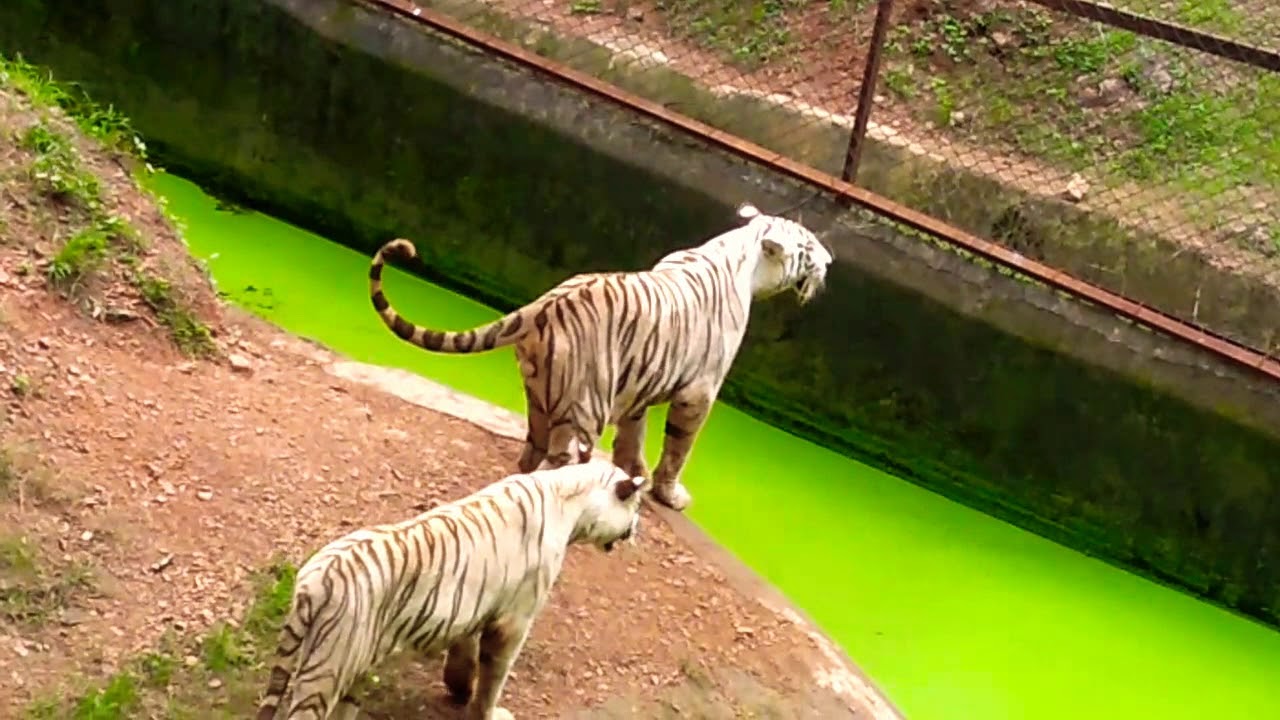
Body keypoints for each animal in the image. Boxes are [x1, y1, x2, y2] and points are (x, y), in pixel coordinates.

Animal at [254, 460, 648, 720]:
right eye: (636, 507)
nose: (636, 529)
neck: (572, 500)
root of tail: (315, 581)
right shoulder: (514, 619)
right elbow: (494, 679)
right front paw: (487, 711)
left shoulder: (474, 609)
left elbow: (464, 657)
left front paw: (459, 691)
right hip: (327, 669)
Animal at [368, 202, 833, 512]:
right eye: (809, 248)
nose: (830, 260)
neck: (741, 255)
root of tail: (544, 304)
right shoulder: (700, 391)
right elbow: (678, 449)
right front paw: (669, 494)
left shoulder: (638, 385)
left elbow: (633, 437)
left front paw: (635, 474)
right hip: (583, 411)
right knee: (559, 464)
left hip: (540, 399)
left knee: (531, 453)